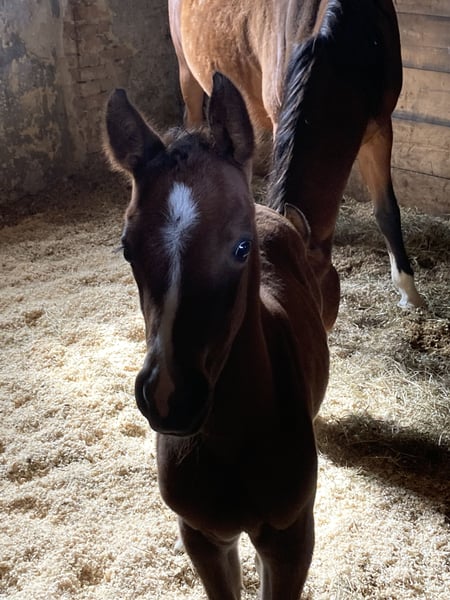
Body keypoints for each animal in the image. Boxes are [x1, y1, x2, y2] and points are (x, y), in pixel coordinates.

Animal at [105, 73, 329, 599]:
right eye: (127, 249)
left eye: (242, 247)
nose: (170, 398)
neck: (231, 439)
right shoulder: (203, 537)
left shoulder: (290, 539)